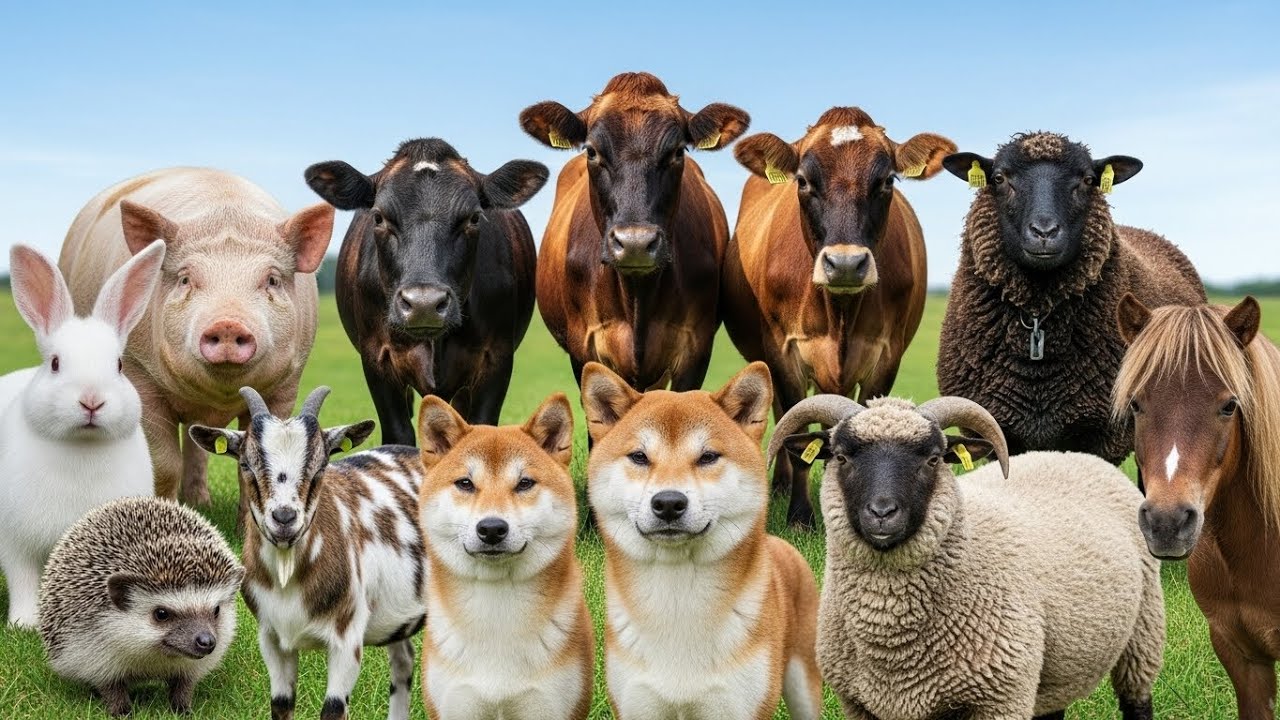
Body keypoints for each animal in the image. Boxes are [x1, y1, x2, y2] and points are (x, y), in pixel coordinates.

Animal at [305, 138, 548, 445]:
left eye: (474, 218)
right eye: (379, 217)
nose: (424, 304)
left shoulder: (497, 356)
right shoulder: (376, 356)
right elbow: (398, 433)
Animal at [518, 71, 750, 392]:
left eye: (678, 151)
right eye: (592, 151)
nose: (635, 243)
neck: (638, 299)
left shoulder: (696, 350)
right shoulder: (584, 349)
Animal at [722, 107, 956, 526]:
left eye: (886, 180)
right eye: (803, 181)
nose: (846, 264)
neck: (840, 314)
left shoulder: (885, 355)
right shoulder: (784, 351)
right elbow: (796, 435)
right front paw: (800, 516)